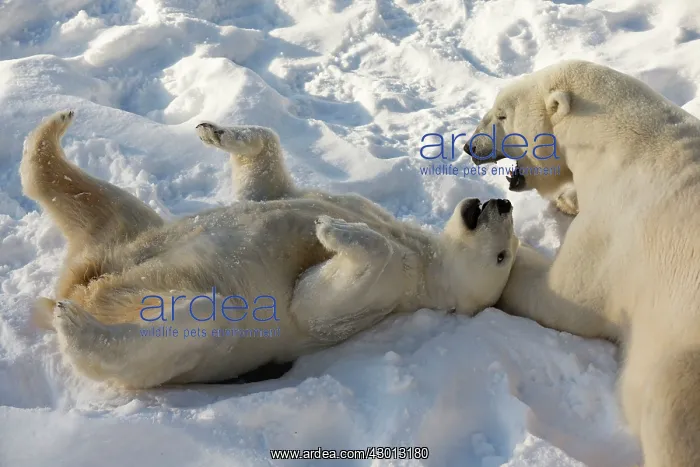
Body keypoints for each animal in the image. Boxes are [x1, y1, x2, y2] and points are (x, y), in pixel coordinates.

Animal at [21, 109, 520, 390]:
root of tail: (80, 286)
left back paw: (75, 324)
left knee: (200, 317)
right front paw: (213, 131)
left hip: (194, 338)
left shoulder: (397, 286)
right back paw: (54, 127)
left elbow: (313, 301)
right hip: (123, 238)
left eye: (503, 256)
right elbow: (266, 186)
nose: (502, 204)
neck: (422, 250)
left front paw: (331, 230)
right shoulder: (350, 201)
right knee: (97, 201)